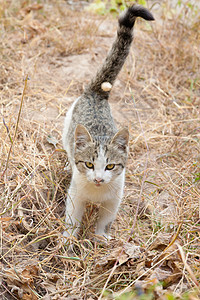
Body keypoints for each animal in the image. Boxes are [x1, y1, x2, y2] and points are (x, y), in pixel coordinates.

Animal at [62, 4, 155, 241]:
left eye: (110, 166)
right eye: (89, 165)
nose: (97, 179)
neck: (97, 193)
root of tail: (97, 93)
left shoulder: (114, 199)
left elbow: (105, 220)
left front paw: (101, 238)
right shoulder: (75, 195)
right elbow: (72, 219)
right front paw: (67, 240)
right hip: (67, 127)